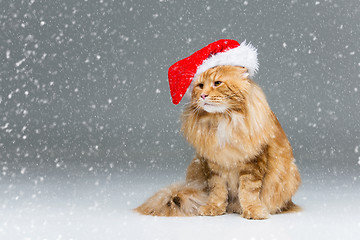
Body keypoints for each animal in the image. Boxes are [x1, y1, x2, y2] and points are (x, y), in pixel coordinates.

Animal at [136, 65, 300, 219]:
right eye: (200, 85)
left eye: (217, 83)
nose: (203, 95)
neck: (223, 120)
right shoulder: (213, 165)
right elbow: (218, 191)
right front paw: (214, 208)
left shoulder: (253, 163)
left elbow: (248, 192)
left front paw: (253, 210)